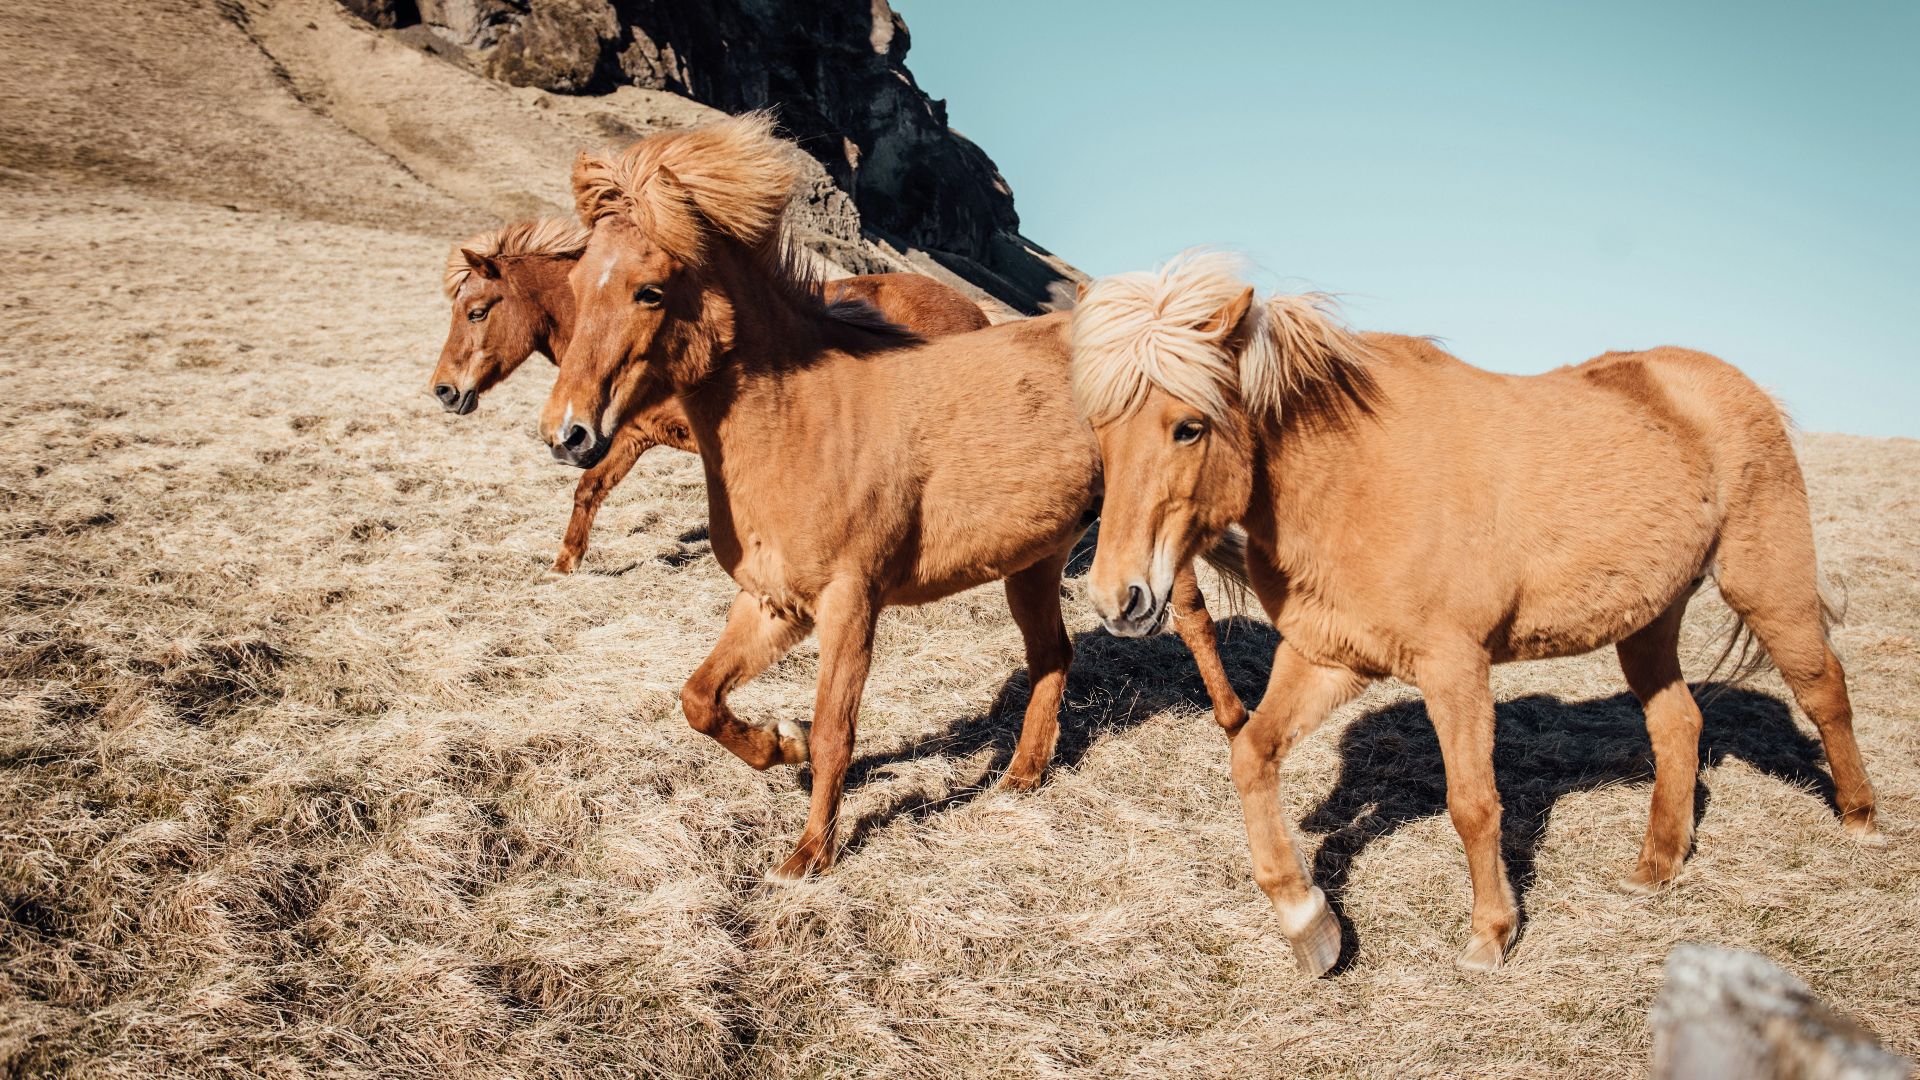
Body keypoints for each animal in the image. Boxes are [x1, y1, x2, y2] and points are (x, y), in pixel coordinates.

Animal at [430, 219, 991, 572]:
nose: (444, 390)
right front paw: (565, 565)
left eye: (476, 311)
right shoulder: (634, 436)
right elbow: (590, 489)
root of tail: (975, 314)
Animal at [536, 114, 1251, 881]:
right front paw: (778, 744)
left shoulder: (850, 604)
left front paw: (809, 855)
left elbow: (835, 731)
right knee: (1053, 655)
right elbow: (700, 699)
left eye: (649, 290)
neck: (802, 421)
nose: (566, 432)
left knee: (1193, 621)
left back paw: (1236, 724)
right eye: (574, 281)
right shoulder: (772, 602)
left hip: (1146, 548)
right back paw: (1022, 776)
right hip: (1033, 563)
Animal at [1067, 251, 1879, 975]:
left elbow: (1473, 802)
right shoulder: (1328, 656)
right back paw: (1658, 865)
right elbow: (1250, 756)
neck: (1355, 476)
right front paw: (1309, 924)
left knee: (1823, 690)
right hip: (1649, 619)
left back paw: (1861, 821)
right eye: (1100, 429)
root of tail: (1738, 385)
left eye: (1188, 426)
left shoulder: (1455, 667)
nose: (1119, 598)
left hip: (1766, 584)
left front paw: (1491, 934)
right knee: (1678, 722)